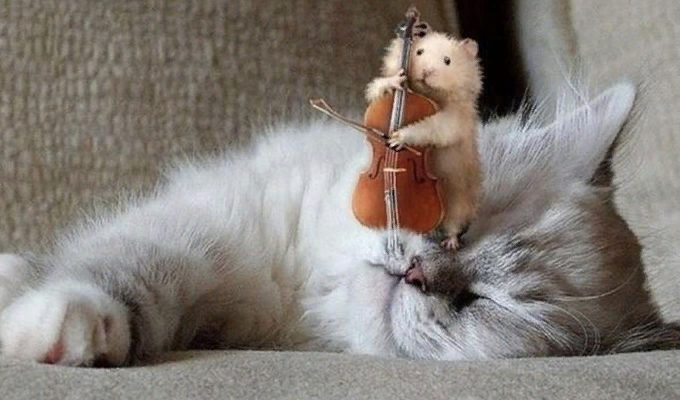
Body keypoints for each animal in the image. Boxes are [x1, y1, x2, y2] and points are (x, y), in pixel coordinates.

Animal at [0, 80, 678, 367]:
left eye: (476, 302)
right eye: (457, 228)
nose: (415, 271)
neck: (299, 301)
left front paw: (63, 334)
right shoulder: (212, 225)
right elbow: (125, 267)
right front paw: (57, 324)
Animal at [365, 30, 483, 250]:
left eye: (447, 61)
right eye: (419, 52)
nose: (427, 72)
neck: (430, 94)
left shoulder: (453, 119)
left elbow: (429, 126)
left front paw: (398, 138)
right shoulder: (375, 91)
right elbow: (377, 88)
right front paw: (396, 81)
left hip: (458, 203)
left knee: (454, 225)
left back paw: (450, 243)